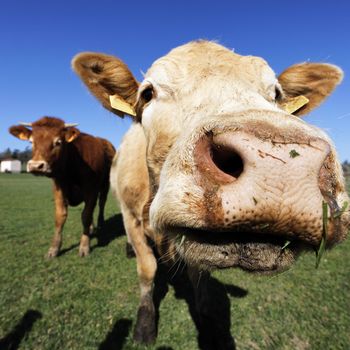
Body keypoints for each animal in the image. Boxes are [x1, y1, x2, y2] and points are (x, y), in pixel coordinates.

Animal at [8, 117, 115, 258]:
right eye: (31, 141)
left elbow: (86, 215)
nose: (36, 166)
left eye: (58, 142)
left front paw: (84, 246)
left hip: (105, 184)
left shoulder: (91, 189)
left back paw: (101, 223)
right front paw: (54, 248)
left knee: (102, 202)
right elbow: (60, 216)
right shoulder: (58, 189)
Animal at [72, 41, 350, 344]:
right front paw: (144, 325)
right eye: (147, 93)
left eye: (277, 94)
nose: (280, 165)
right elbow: (147, 270)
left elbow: (199, 277)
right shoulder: (130, 215)